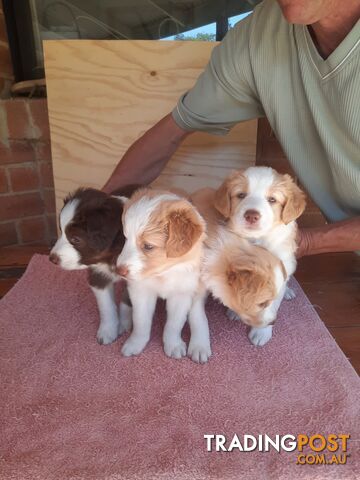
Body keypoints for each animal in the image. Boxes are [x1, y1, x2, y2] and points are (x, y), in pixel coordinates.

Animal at [49, 187, 134, 344]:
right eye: (61, 231)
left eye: (76, 239)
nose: (52, 259)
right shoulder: (98, 276)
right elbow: (106, 306)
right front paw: (107, 331)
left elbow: (127, 301)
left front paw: (124, 323)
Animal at [115, 188, 211, 364]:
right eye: (125, 238)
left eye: (148, 246)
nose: (119, 270)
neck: (163, 273)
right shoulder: (140, 291)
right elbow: (141, 321)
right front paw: (135, 343)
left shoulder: (181, 295)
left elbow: (174, 324)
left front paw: (173, 345)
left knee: (197, 310)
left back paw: (199, 344)